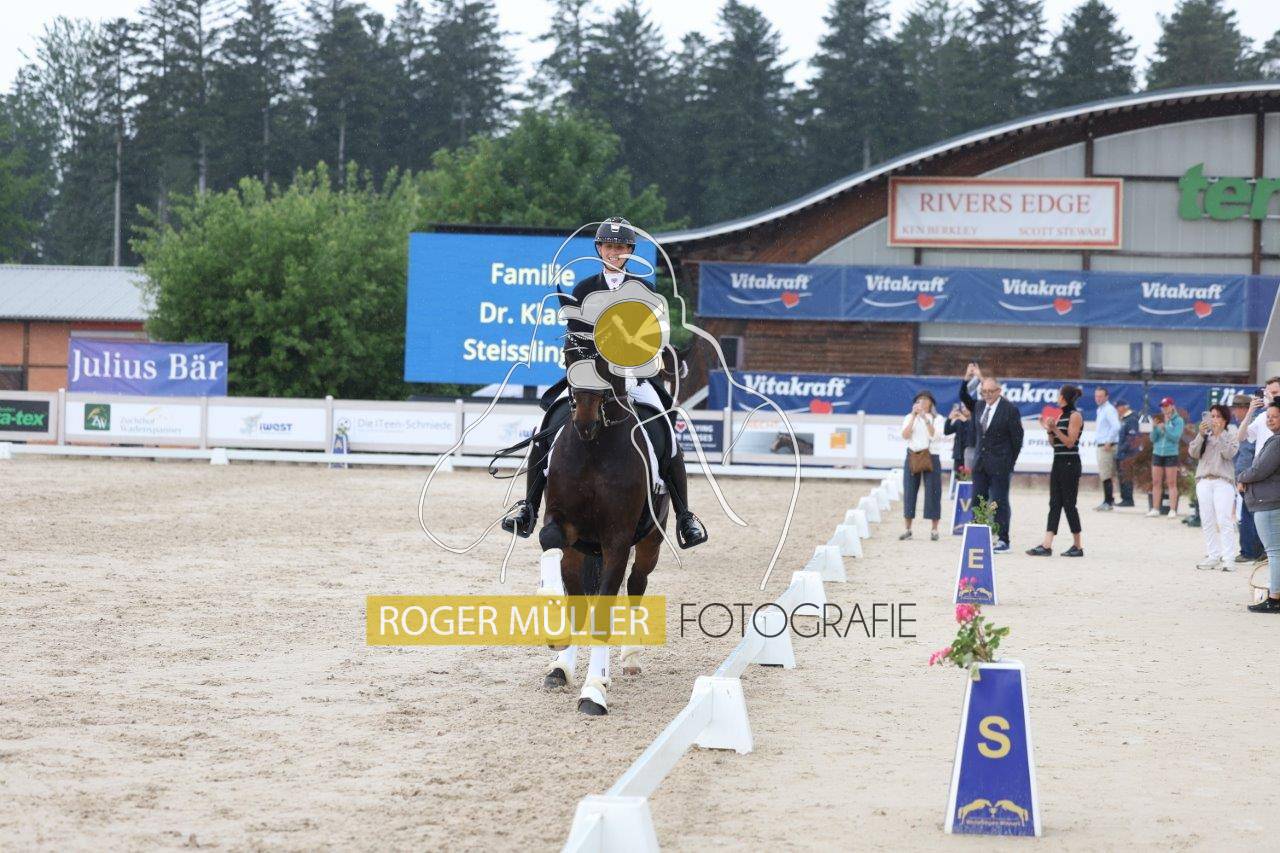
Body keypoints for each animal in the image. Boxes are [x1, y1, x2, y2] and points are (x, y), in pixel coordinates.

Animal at [537, 351, 671, 716]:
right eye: (569, 349)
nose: (585, 421)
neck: (594, 447)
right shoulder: (562, 524)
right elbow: (550, 544)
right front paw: (556, 639)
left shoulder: (617, 540)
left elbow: (604, 611)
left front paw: (594, 690)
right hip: (579, 550)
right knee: (578, 597)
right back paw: (560, 667)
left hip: (651, 541)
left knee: (637, 583)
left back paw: (631, 657)